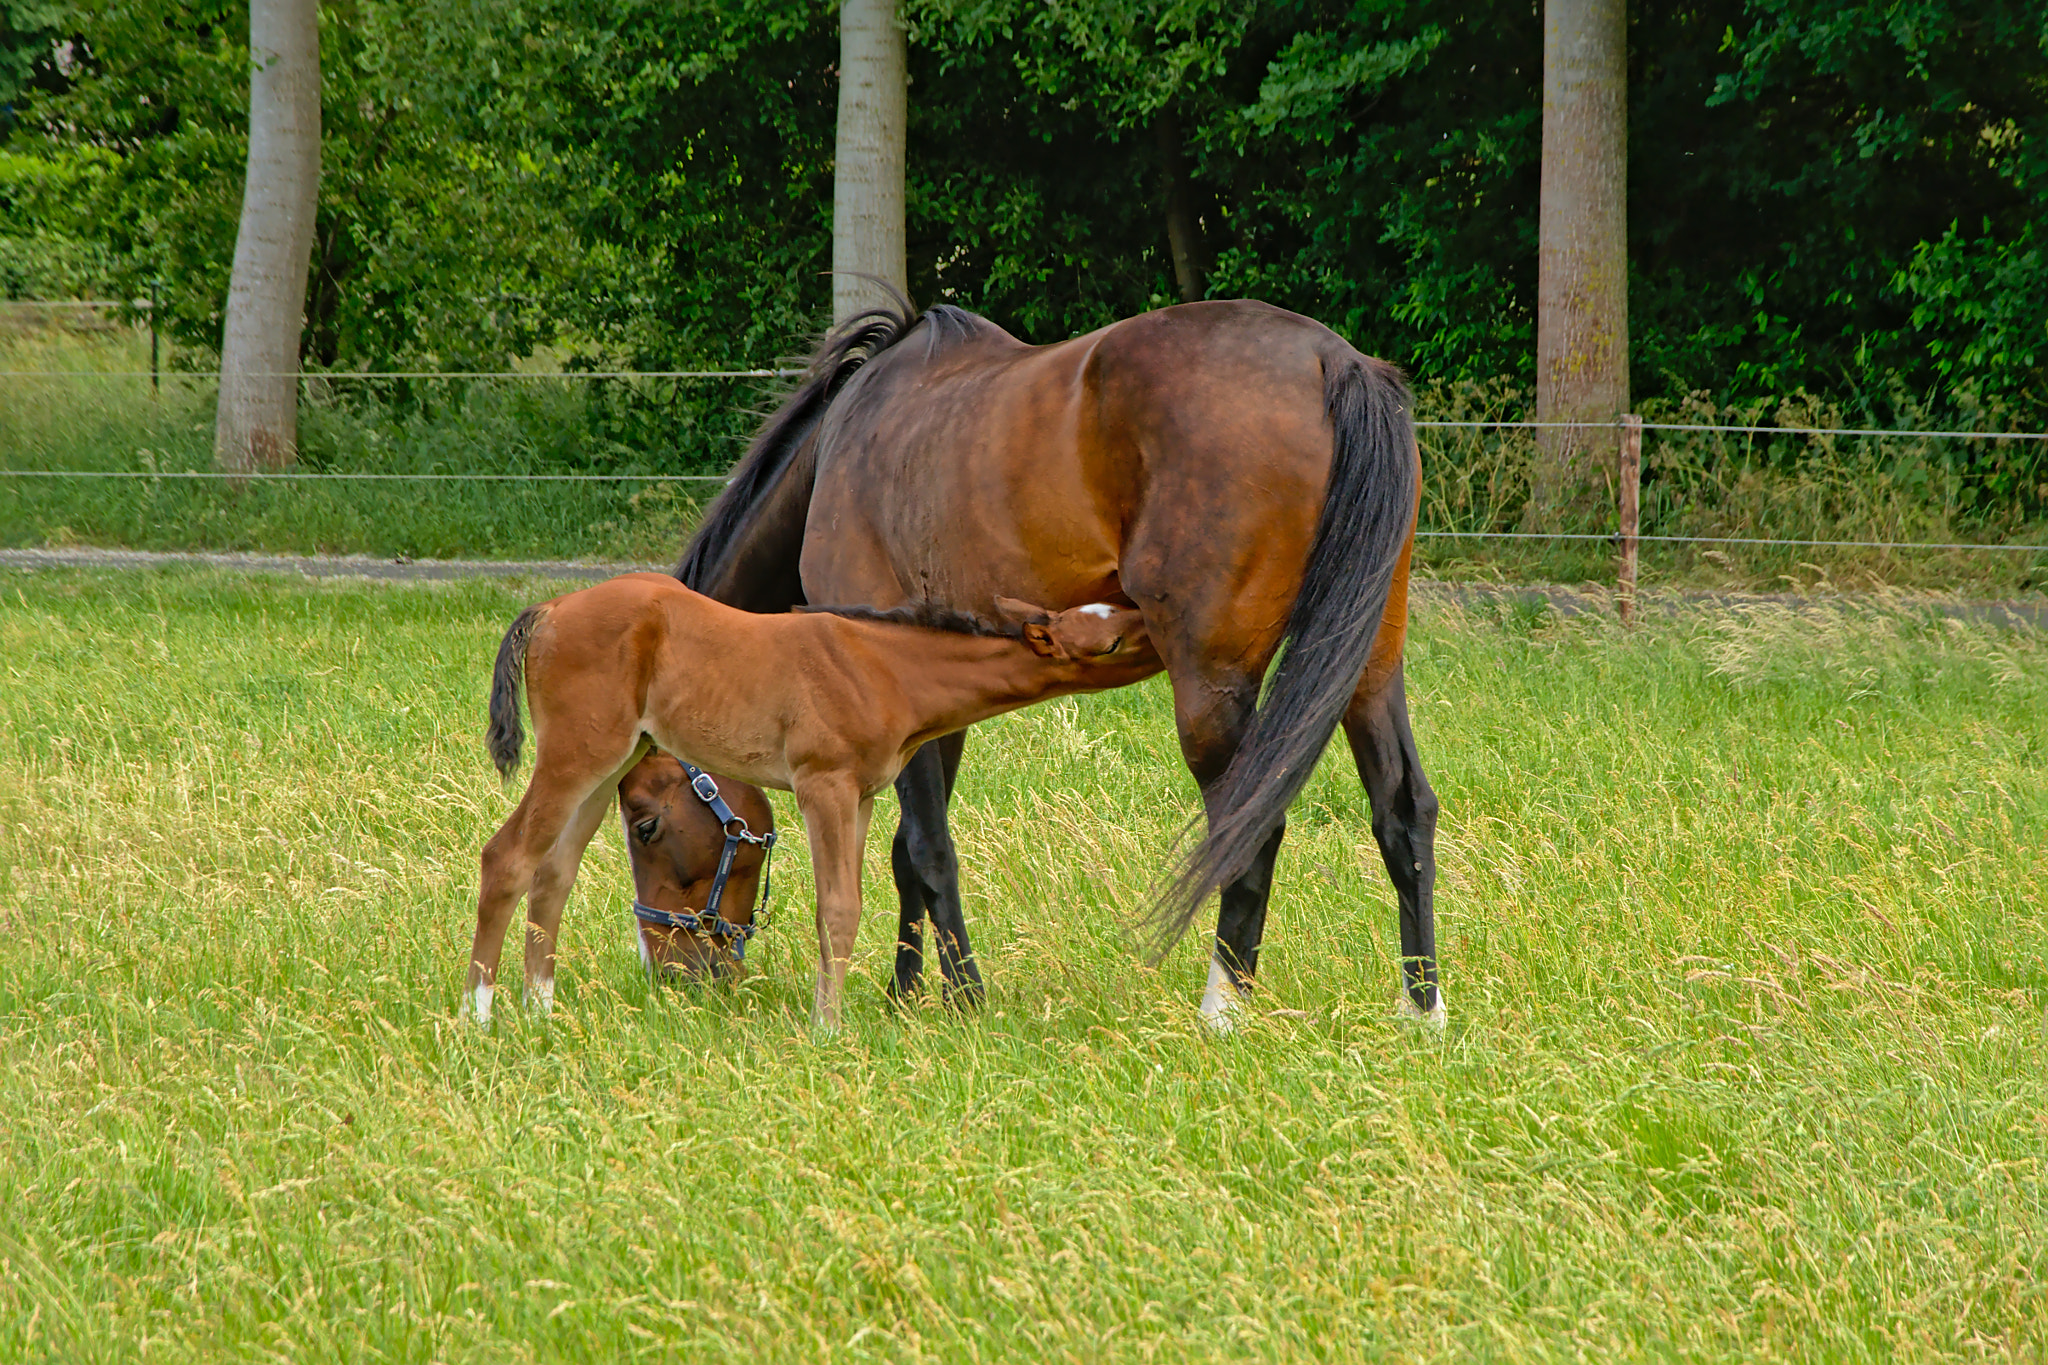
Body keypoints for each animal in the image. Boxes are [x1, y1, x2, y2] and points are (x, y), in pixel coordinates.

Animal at [676, 297, 1443, 1030]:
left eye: (654, 823)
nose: (686, 979)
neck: (839, 447)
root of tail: (1333, 360)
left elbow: (926, 846)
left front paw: (962, 999)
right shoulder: (932, 701)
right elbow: (907, 851)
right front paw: (905, 996)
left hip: (1213, 685)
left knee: (1250, 827)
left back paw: (1221, 1012)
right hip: (1370, 662)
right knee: (1403, 808)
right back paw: (1422, 1012)